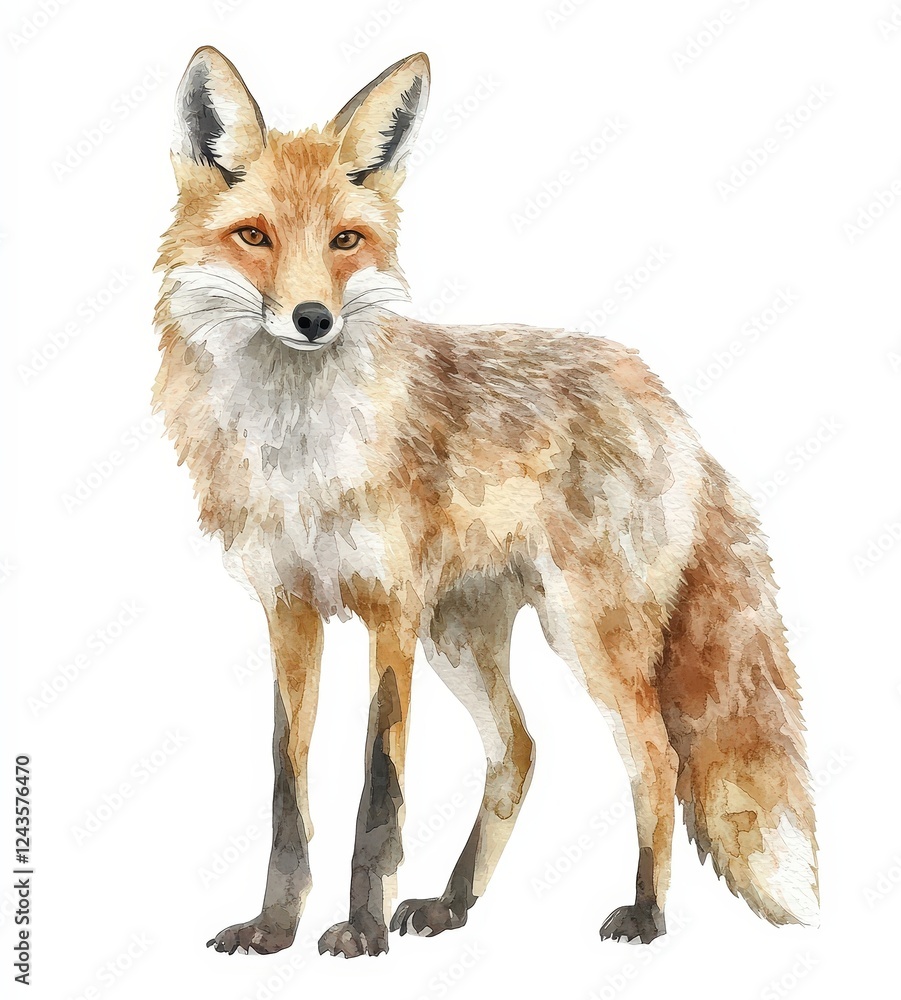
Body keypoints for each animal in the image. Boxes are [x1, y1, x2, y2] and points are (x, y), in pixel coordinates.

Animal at [153, 47, 819, 958]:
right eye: (254, 235)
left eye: (345, 241)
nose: (313, 318)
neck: (299, 450)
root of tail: (664, 400)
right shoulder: (288, 608)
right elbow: (289, 785)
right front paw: (273, 927)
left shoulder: (390, 608)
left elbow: (378, 788)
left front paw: (360, 931)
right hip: (463, 635)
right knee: (519, 750)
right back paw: (453, 902)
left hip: (585, 632)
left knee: (657, 758)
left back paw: (645, 914)